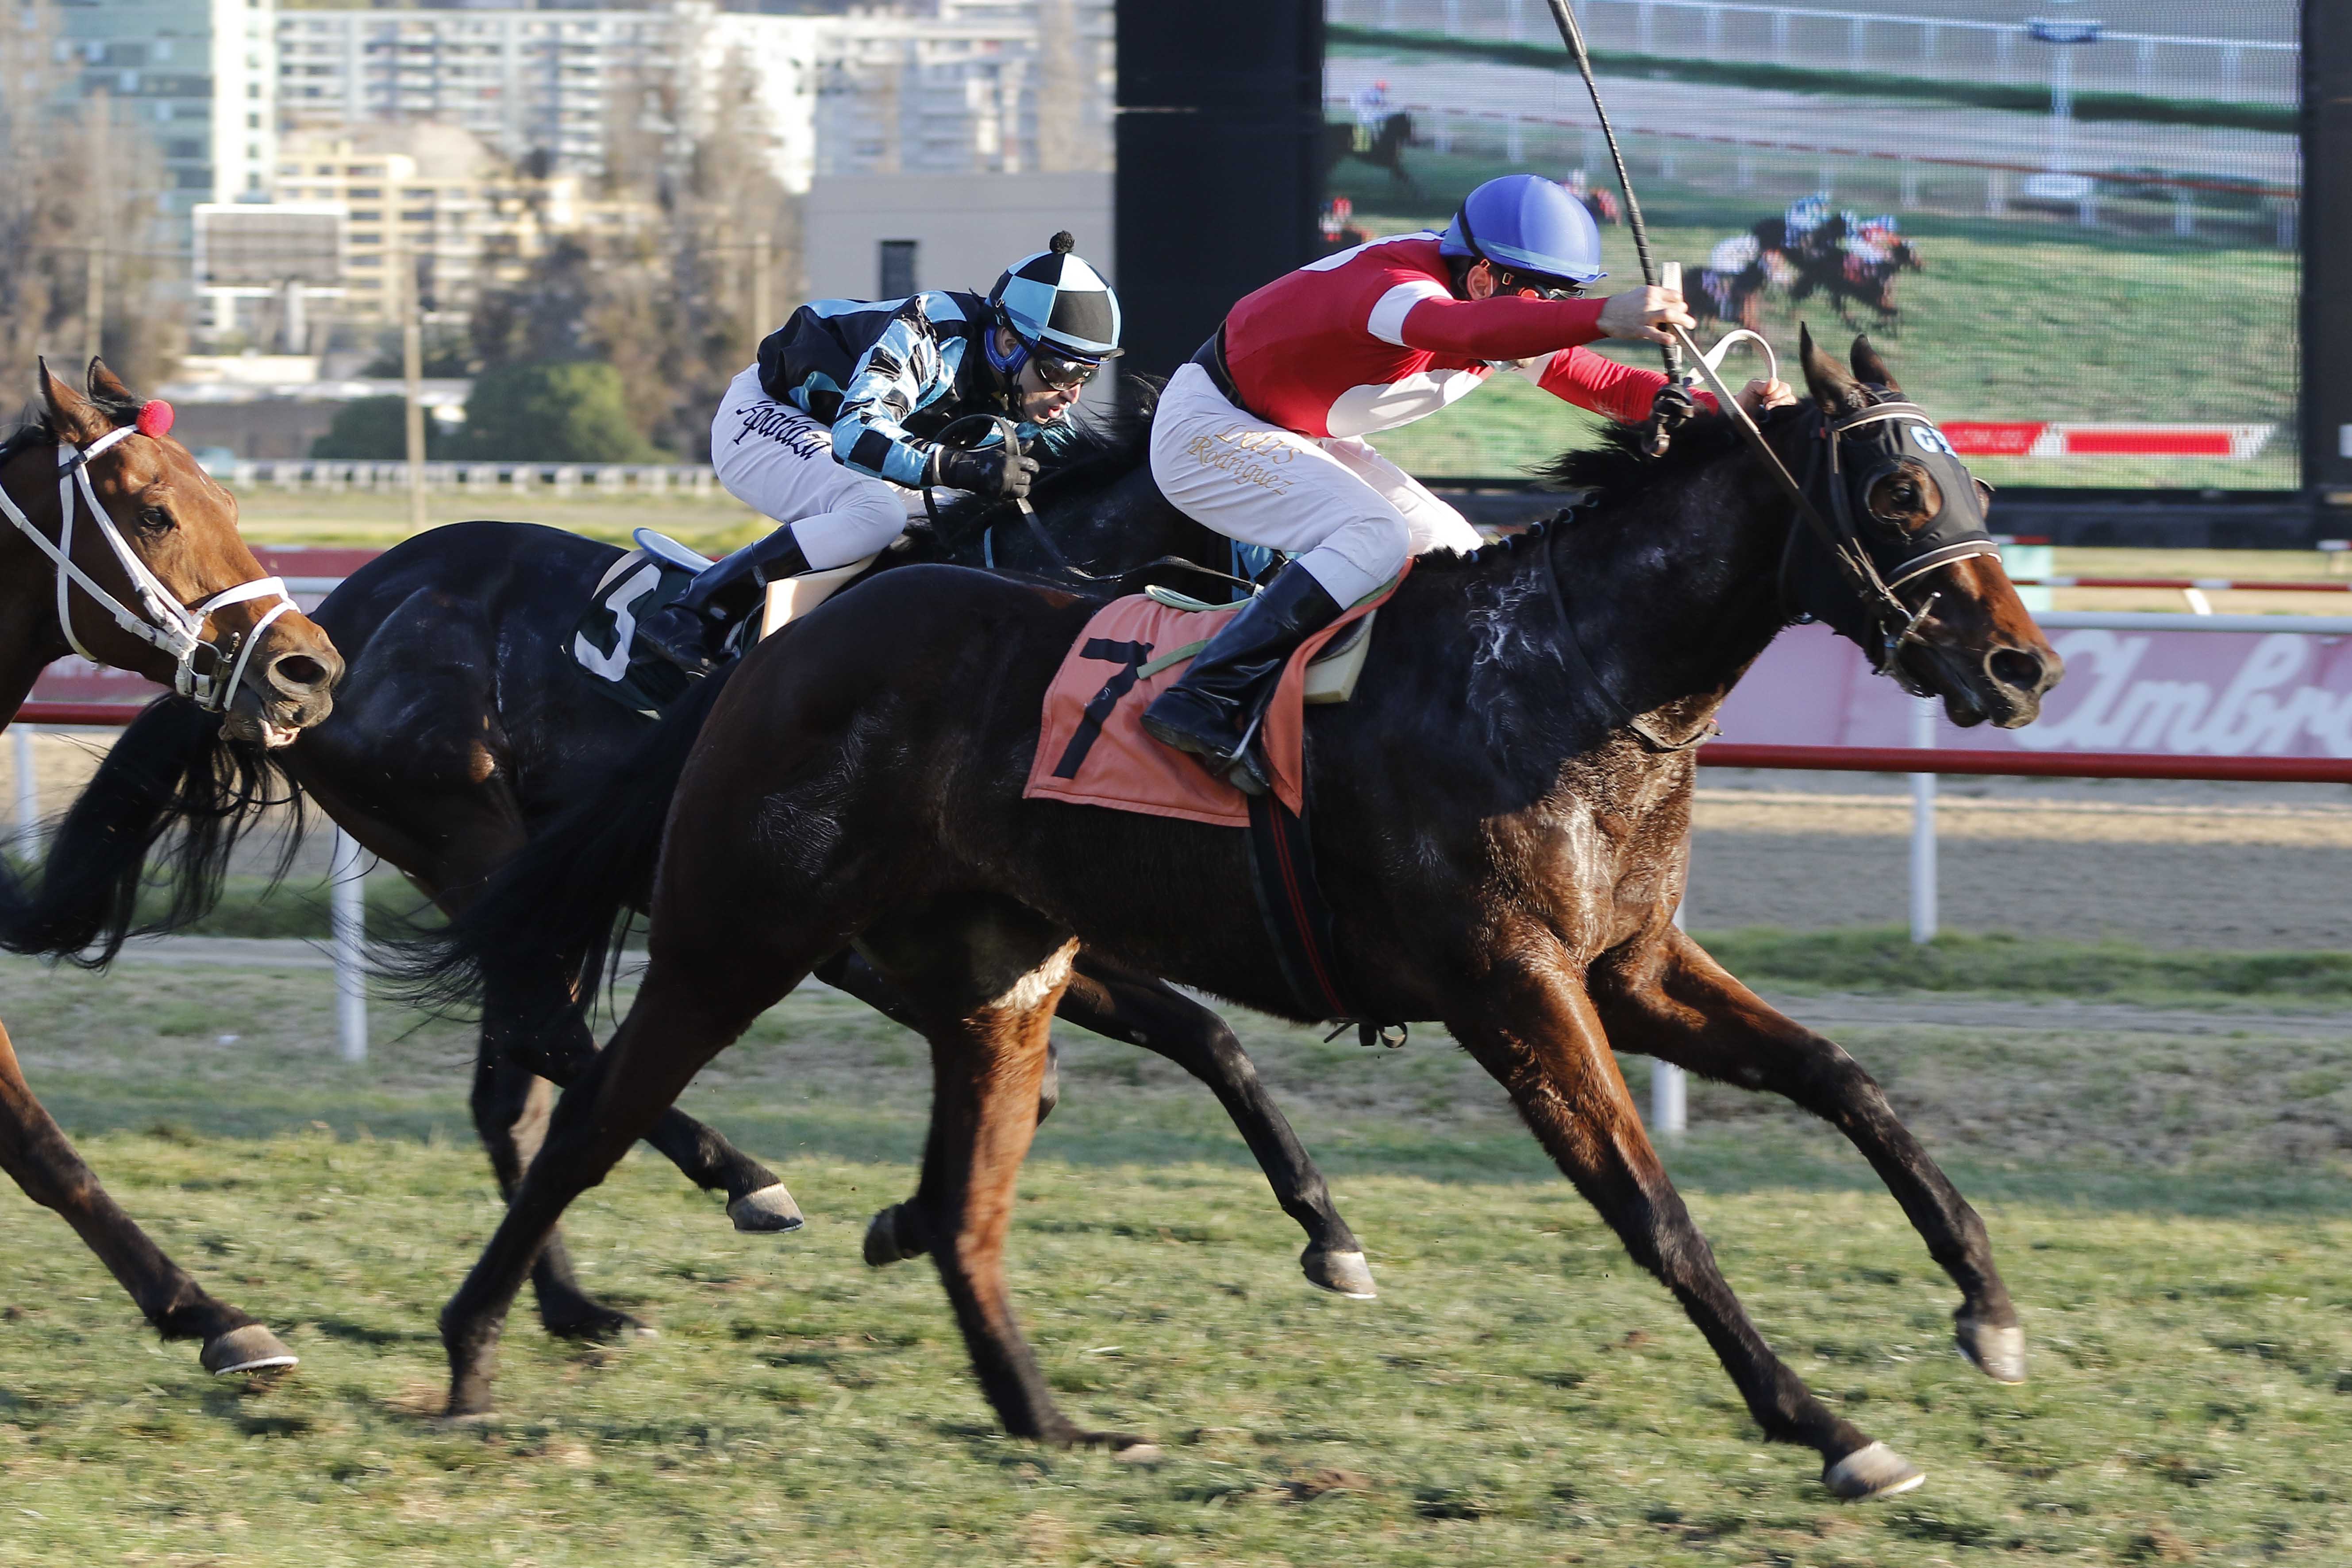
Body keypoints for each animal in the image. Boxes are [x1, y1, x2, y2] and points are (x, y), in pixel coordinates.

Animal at [413, 331, 2065, 1499]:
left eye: (1979, 490)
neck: (1568, 674)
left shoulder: (1633, 965)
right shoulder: (1513, 987)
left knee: (962, 1198)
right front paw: (1828, 1424)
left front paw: (1985, 1304)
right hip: (737, 931)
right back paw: (491, 1342)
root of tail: (766, 656)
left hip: (993, 975)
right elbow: (1649, 1206)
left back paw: (1050, 1416)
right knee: (587, 1110)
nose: (2021, 667)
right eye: (1898, 491)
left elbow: (1843, 1080)